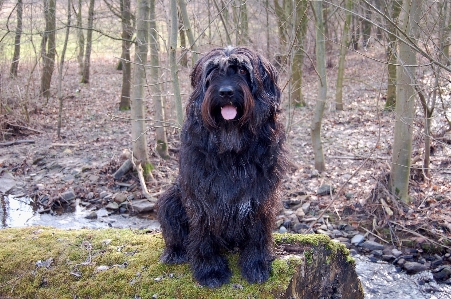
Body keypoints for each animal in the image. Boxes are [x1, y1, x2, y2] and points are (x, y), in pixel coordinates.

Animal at [158, 46, 286, 288]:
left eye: (243, 71)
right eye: (213, 72)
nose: (226, 92)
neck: (231, 144)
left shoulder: (261, 196)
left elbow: (258, 232)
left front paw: (256, 265)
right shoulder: (201, 196)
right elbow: (203, 231)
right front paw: (210, 270)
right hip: (170, 199)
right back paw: (176, 252)